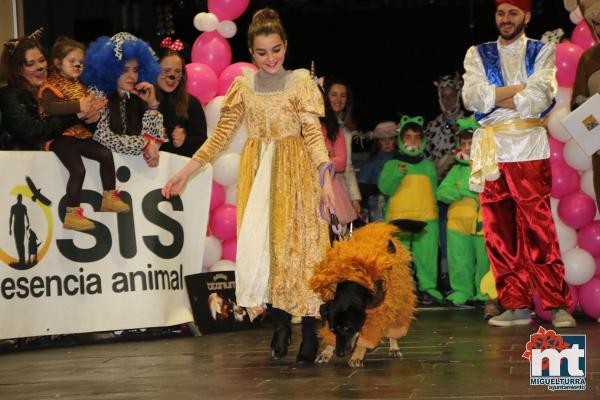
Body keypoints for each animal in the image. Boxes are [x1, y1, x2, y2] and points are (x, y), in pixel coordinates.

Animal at [312, 220, 420, 368]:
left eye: (347, 328)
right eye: (333, 330)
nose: (340, 354)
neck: (354, 282)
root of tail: (384, 228)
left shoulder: (375, 313)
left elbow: (365, 337)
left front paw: (357, 356)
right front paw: (326, 351)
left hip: (399, 296)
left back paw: (394, 347)